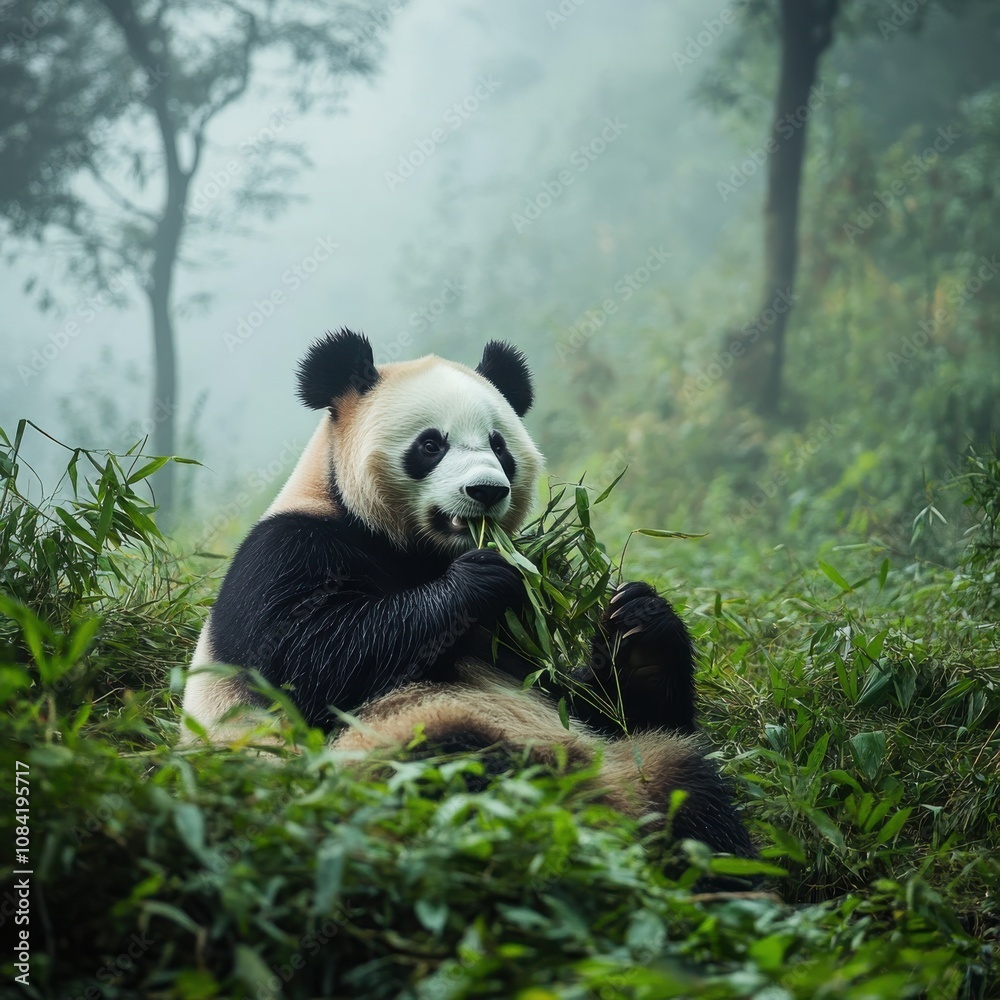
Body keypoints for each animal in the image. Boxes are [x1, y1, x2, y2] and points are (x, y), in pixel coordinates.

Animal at [181, 329, 754, 860]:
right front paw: (485, 575)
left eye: (499, 445)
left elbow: (599, 705)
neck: (414, 551)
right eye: (431, 444)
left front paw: (639, 620)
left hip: (640, 769)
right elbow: (310, 663)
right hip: (401, 741)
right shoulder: (288, 552)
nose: (486, 491)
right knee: (451, 762)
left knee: (690, 788)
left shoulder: (518, 632)